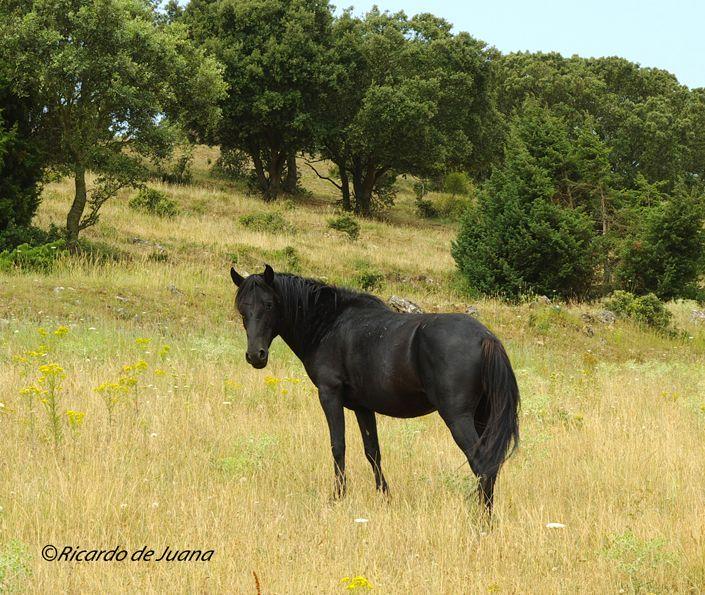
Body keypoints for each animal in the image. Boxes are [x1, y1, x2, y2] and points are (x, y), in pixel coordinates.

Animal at [230, 264, 520, 515]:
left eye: (269, 305)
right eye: (242, 309)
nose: (255, 356)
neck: (330, 324)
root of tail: (485, 337)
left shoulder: (329, 394)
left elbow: (338, 446)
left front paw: (338, 497)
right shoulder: (363, 407)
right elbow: (373, 452)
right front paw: (385, 497)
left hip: (458, 417)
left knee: (481, 463)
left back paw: (482, 520)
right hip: (483, 415)